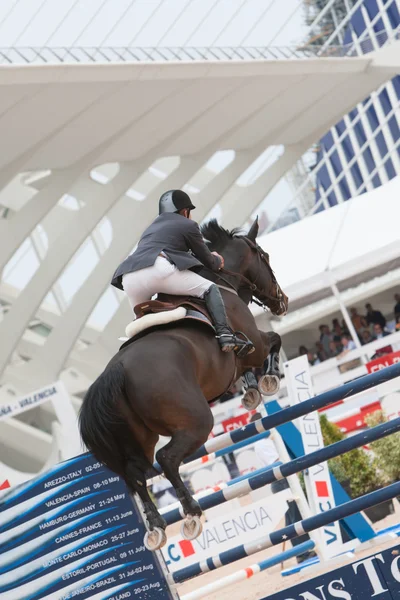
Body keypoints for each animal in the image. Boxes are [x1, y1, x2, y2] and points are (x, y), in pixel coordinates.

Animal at [79, 218, 290, 552]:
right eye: (265, 256)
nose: (282, 302)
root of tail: (118, 370)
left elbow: (245, 370)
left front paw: (251, 392)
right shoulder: (255, 344)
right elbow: (273, 340)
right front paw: (268, 382)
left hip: (140, 438)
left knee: (134, 475)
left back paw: (156, 527)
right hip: (196, 422)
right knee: (166, 459)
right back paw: (191, 512)